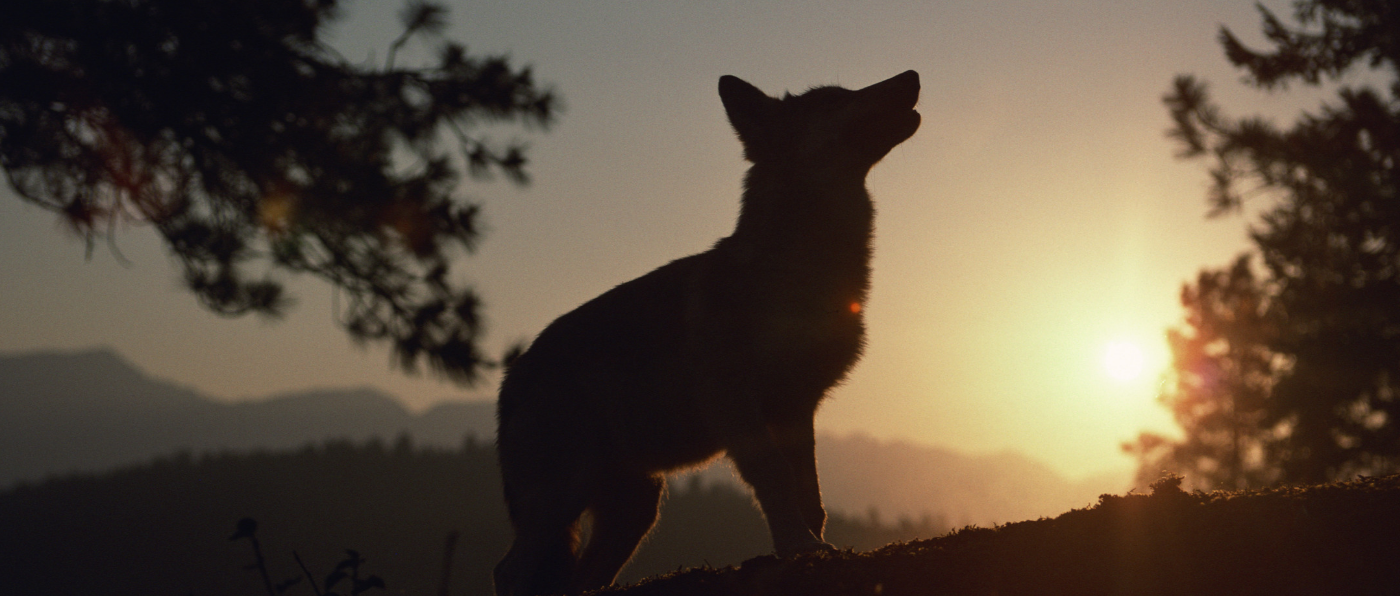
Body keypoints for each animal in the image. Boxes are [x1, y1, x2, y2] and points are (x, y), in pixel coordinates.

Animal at [492, 71, 918, 596]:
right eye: (834, 98)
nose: (912, 75)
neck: (799, 270)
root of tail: (510, 383)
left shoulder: (799, 407)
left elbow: (809, 492)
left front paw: (813, 546)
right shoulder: (735, 399)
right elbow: (774, 475)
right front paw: (797, 546)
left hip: (636, 510)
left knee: (580, 577)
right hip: (567, 491)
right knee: (509, 569)